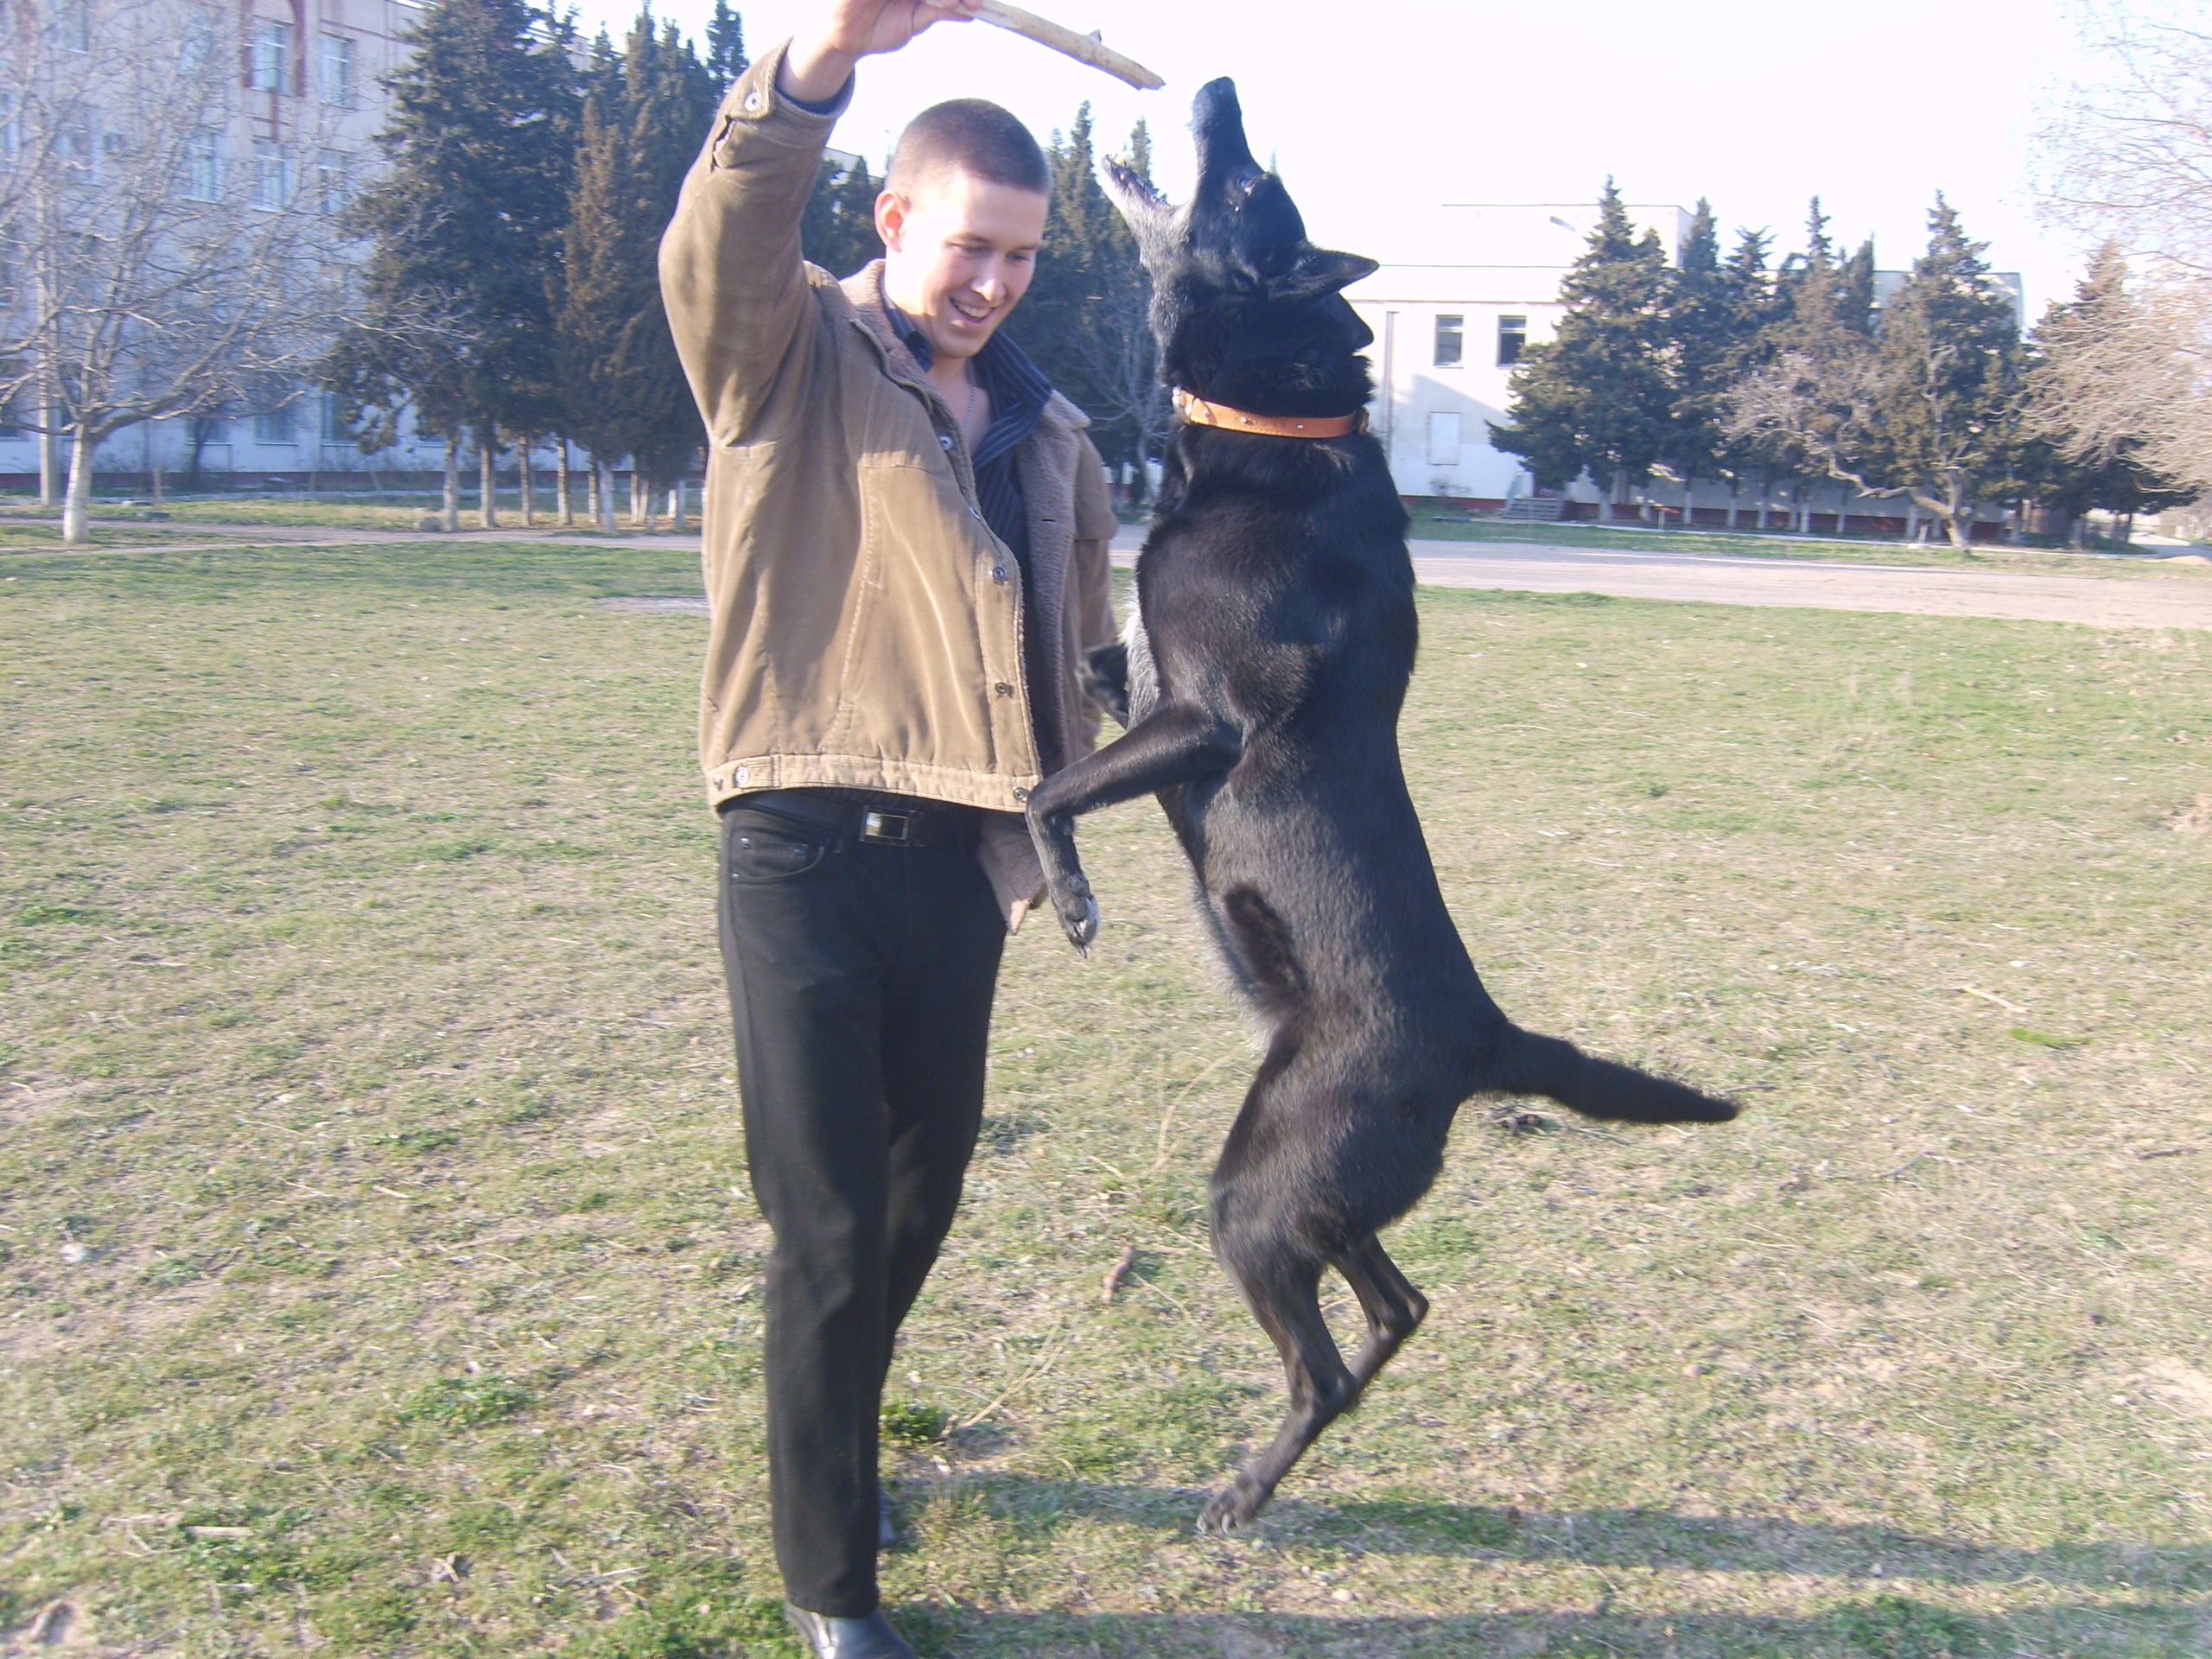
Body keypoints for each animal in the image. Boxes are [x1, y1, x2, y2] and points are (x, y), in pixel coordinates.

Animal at [1023, 78, 1740, 1534]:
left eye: (1246, 187)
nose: (1219, 87)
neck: (1273, 436)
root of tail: (1486, 1040)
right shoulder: (1137, 690)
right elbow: (1079, 682)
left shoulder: (1202, 723)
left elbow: (1043, 786)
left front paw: (1069, 898)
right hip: (1313, 1193)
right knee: (1396, 1307)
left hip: (1257, 1186)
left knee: (1324, 1359)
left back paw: (1246, 1488)